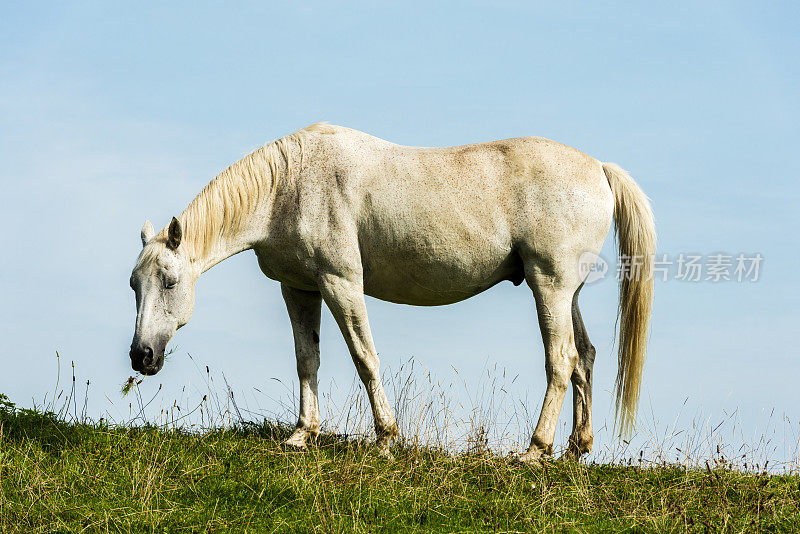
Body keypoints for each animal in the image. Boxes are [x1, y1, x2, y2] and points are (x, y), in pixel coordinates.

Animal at [130, 124, 656, 464]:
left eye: (170, 281)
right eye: (135, 284)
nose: (141, 356)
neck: (290, 186)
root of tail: (599, 169)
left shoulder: (340, 282)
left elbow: (365, 357)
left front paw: (385, 438)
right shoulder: (299, 288)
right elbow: (306, 359)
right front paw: (302, 435)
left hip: (549, 285)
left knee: (561, 359)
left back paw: (534, 450)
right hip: (567, 293)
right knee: (584, 356)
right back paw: (575, 449)